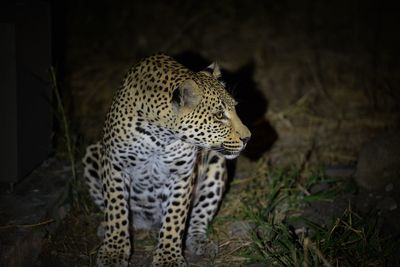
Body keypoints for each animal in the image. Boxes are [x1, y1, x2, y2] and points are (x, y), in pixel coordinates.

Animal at [82, 53, 250, 266]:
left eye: (234, 109)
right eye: (220, 115)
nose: (248, 138)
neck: (159, 136)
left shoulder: (182, 174)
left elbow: (174, 218)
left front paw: (168, 257)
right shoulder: (115, 165)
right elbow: (116, 210)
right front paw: (114, 251)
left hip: (215, 164)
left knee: (199, 217)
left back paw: (200, 242)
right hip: (93, 153)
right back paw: (107, 227)